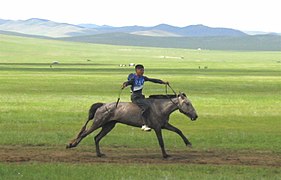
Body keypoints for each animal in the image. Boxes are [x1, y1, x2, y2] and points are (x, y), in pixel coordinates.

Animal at [66, 92, 197, 158]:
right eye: (187, 103)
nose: (195, 116)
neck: (160, 107)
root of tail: (102, 105)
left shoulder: (164, 125)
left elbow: (178, 130)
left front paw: (189, 143)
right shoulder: (157, 128)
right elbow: (161, 141)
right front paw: (165, 155)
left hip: (109, 125)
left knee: (97, 137)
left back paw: (99, 154)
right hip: (98, 122)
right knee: (84, 133)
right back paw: (71, 145)